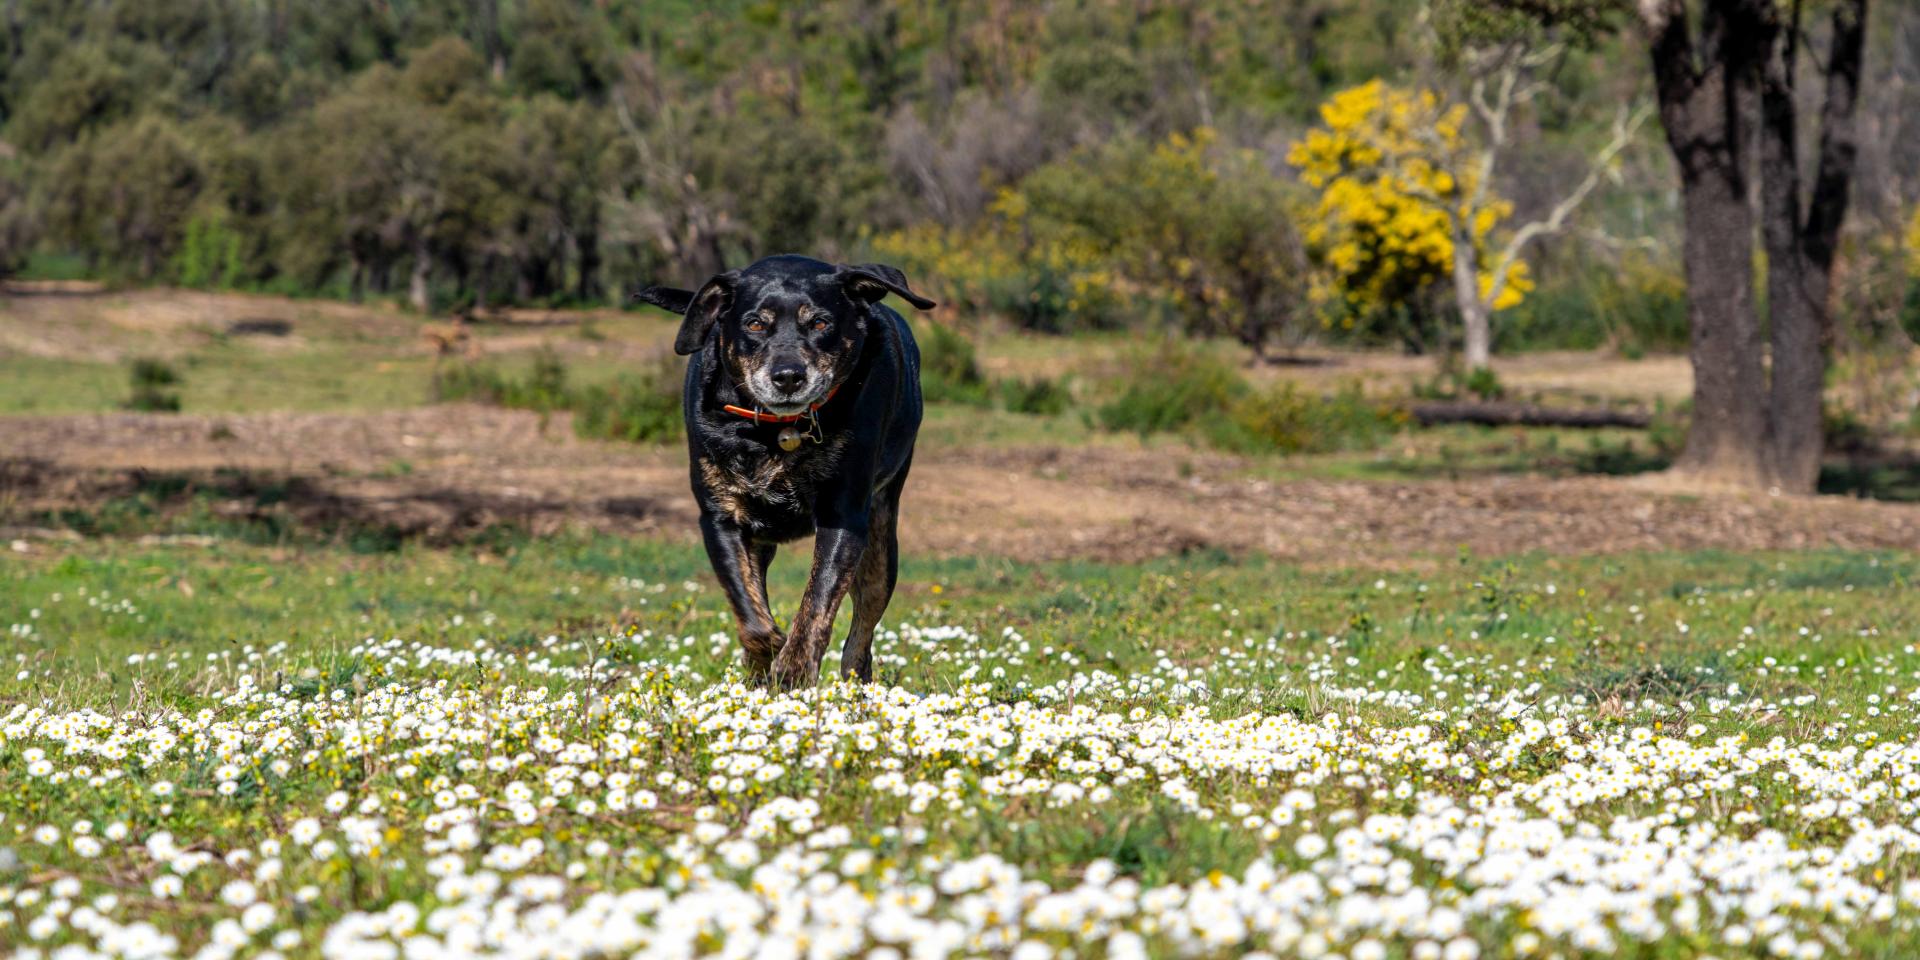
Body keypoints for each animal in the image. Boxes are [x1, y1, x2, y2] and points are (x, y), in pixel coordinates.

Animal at [641, 257, 933, 691]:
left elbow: (817, 605)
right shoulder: (720, 518)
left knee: (861, 633)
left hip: (881, 546)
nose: (788, 375)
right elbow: (751, 615)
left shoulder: (843, 517)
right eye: (754, 324)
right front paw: (765, 659)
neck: (777, 432)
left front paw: (792, 671)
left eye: (821, 323)